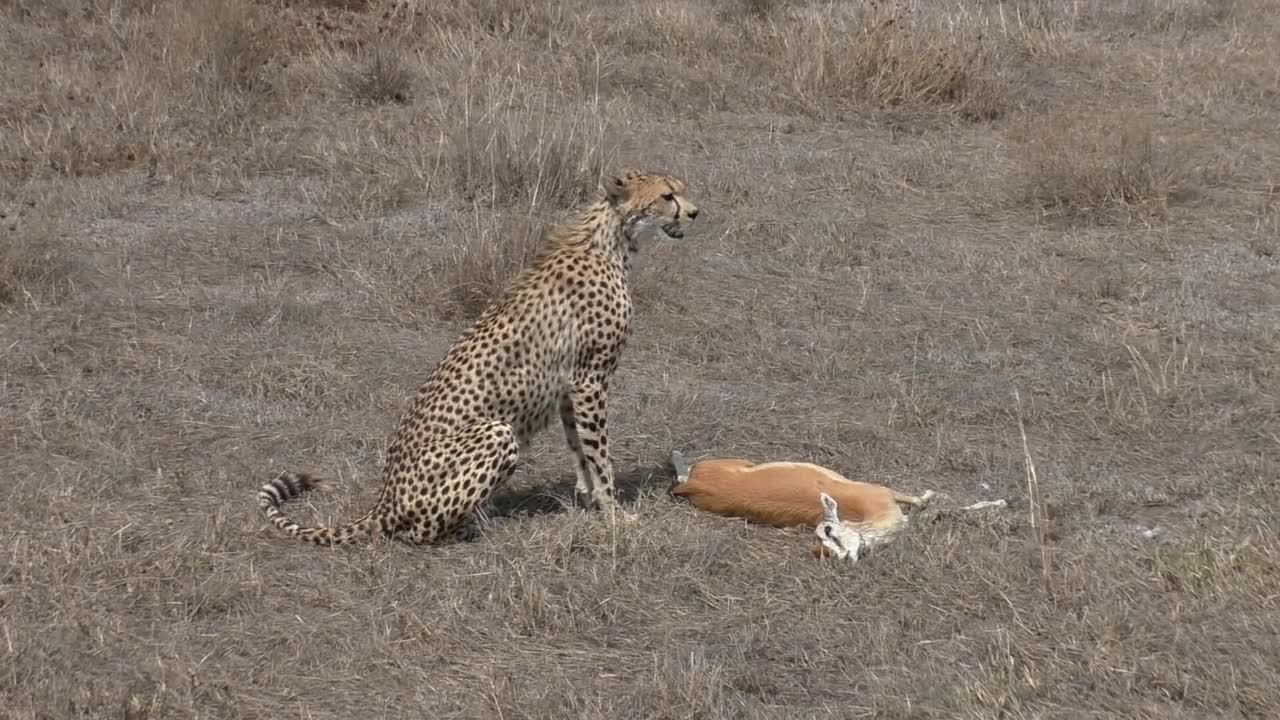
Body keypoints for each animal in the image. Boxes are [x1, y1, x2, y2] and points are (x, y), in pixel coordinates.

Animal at [257, 169, 701, 543]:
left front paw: (589, 498)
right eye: (667, 195)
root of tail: (384, 497)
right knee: (414, 533)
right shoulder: (590, 379)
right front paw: (614, 514)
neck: (609, 241)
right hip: (496, 432)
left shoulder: (568, 385)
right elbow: (599, 453)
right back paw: (473, 526)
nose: (696, 212)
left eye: (680, 190)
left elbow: (579, 448)